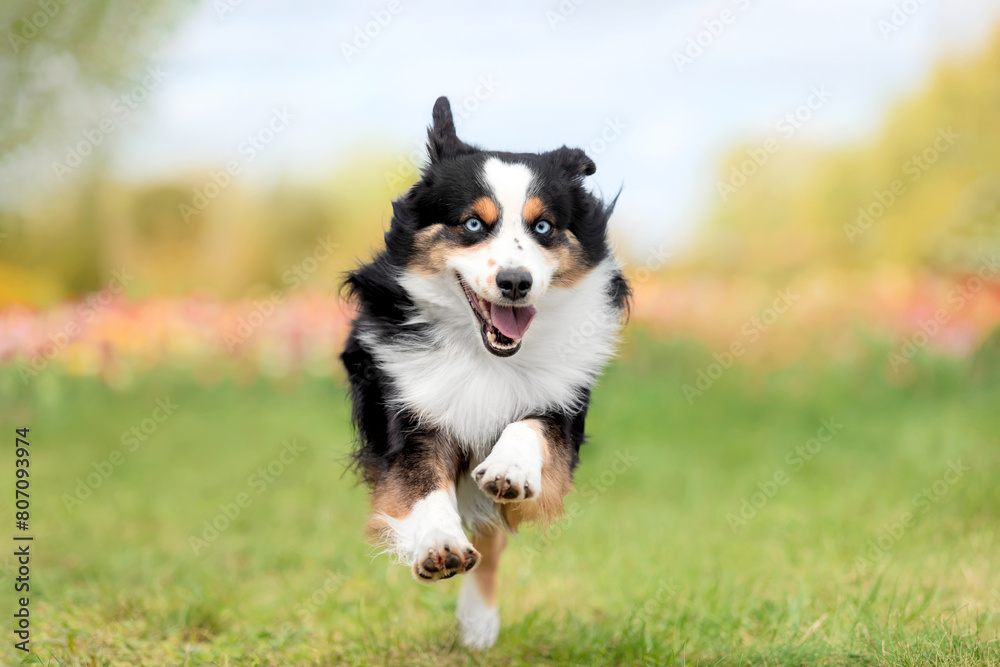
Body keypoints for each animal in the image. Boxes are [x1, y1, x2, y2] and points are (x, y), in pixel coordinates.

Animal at [340, 96, 628, 648]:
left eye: (543, 228)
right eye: (473, 225)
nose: (515, 282)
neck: (486, 355)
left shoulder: (562, 414)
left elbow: (529, 429)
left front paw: (509, 468)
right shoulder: (408, 409)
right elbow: (422, 482)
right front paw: (437, 544)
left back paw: (478, 621)